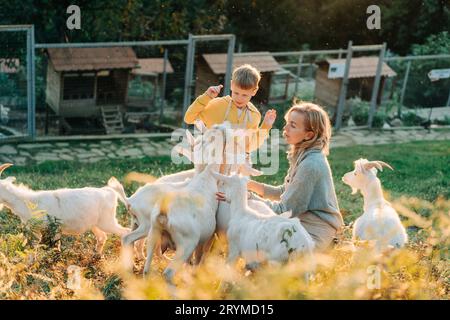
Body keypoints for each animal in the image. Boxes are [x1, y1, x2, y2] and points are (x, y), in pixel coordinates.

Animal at [0, 164, 130, 254]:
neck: (29, 202)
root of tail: (109, 191)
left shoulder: (54, 228)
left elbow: (55, 247)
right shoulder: (36, 231)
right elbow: (34, 247)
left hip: (107, 222)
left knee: (126, 232)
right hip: (95, 224)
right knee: (102, 237)